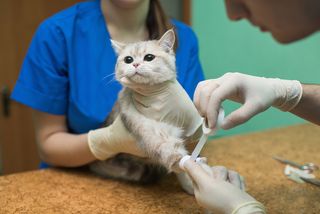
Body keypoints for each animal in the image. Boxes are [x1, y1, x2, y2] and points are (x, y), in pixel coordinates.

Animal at [89, 29, 201, 192]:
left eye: (149, 57)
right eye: (128, 59)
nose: (135, 64)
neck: (154, 96)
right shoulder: (141, 122)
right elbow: (167, 146)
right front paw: (180, 163)